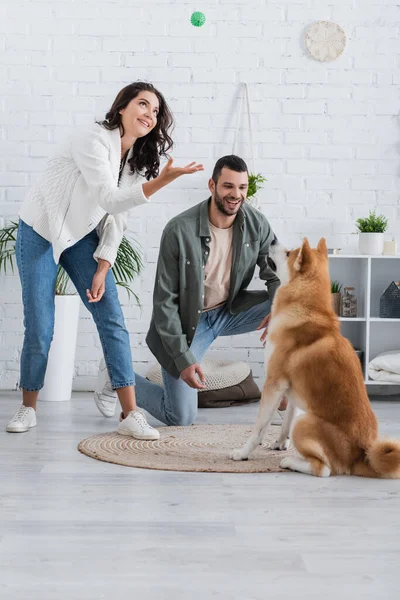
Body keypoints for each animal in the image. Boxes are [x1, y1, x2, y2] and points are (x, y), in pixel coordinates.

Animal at [230, 236, 400, 478]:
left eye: (289, 252)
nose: (272, 240)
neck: (304, 308)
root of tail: (362, 456)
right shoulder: (291, 389)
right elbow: (285, 420)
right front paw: (280, 443)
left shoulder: (274, 383)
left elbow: (259, 427)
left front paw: (243, 453)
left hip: (305, 422)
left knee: (324, 469)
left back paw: (290, 462)